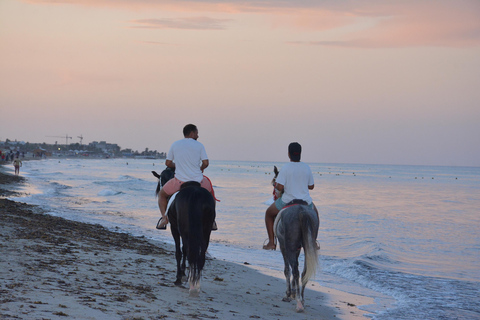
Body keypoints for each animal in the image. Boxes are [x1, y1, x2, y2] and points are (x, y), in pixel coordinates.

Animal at [270, 166, 318, 312]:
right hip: (308, 246)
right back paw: (301, 299)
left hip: (289, 246)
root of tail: (301, 211)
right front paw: (292, 292)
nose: (275, 195)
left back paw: (298, 302)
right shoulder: (297, 248)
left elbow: (287, 269)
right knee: (304, 271)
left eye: (274, 183)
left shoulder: (284, 246)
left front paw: (288, 294)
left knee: (295, 271)